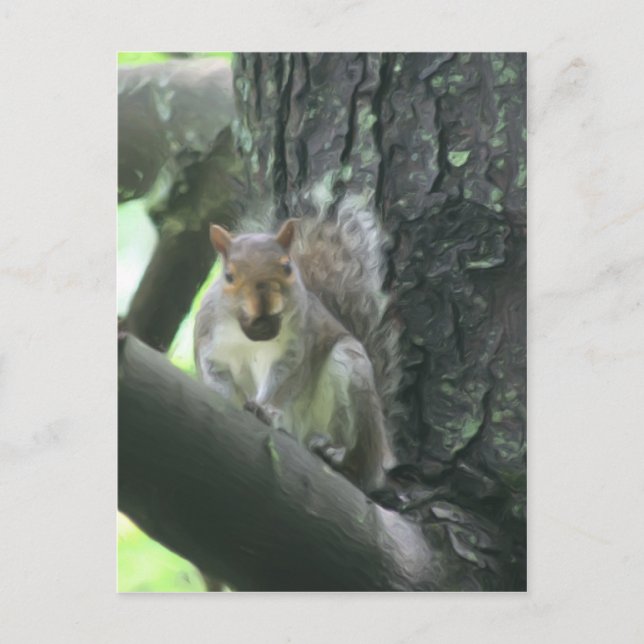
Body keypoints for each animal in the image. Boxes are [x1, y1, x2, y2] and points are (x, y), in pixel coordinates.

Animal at [194, 196, 399, 492]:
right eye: (229, 276)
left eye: (287, 267)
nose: (264, 308)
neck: (250, 337)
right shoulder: (209, 345)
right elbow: (215, 376)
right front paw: (223, 397)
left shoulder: (296, 350)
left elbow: (285, 382)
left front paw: (265, 409)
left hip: (352, 371)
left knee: (362, 464)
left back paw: (338, 455)